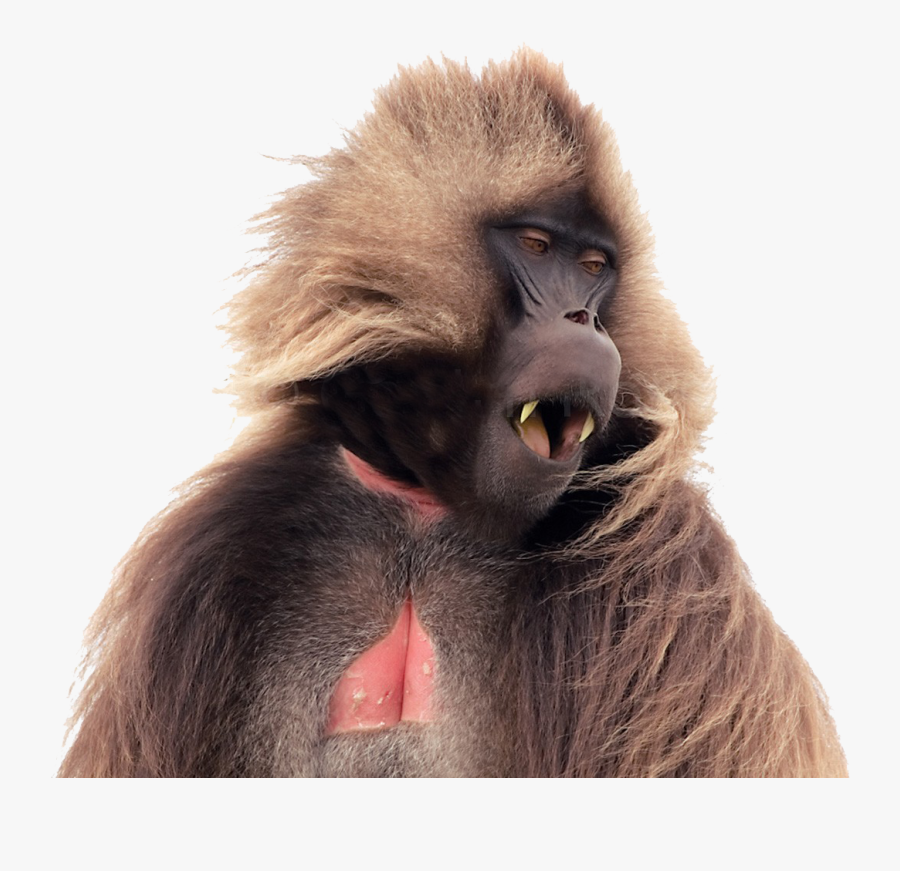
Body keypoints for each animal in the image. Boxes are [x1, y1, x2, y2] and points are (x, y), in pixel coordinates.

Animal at [60, 50, 847, 777]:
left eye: (595, 268)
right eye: (537, 247)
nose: (585, 322)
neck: (426, 506)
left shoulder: (671, 580)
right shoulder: (208, 562)